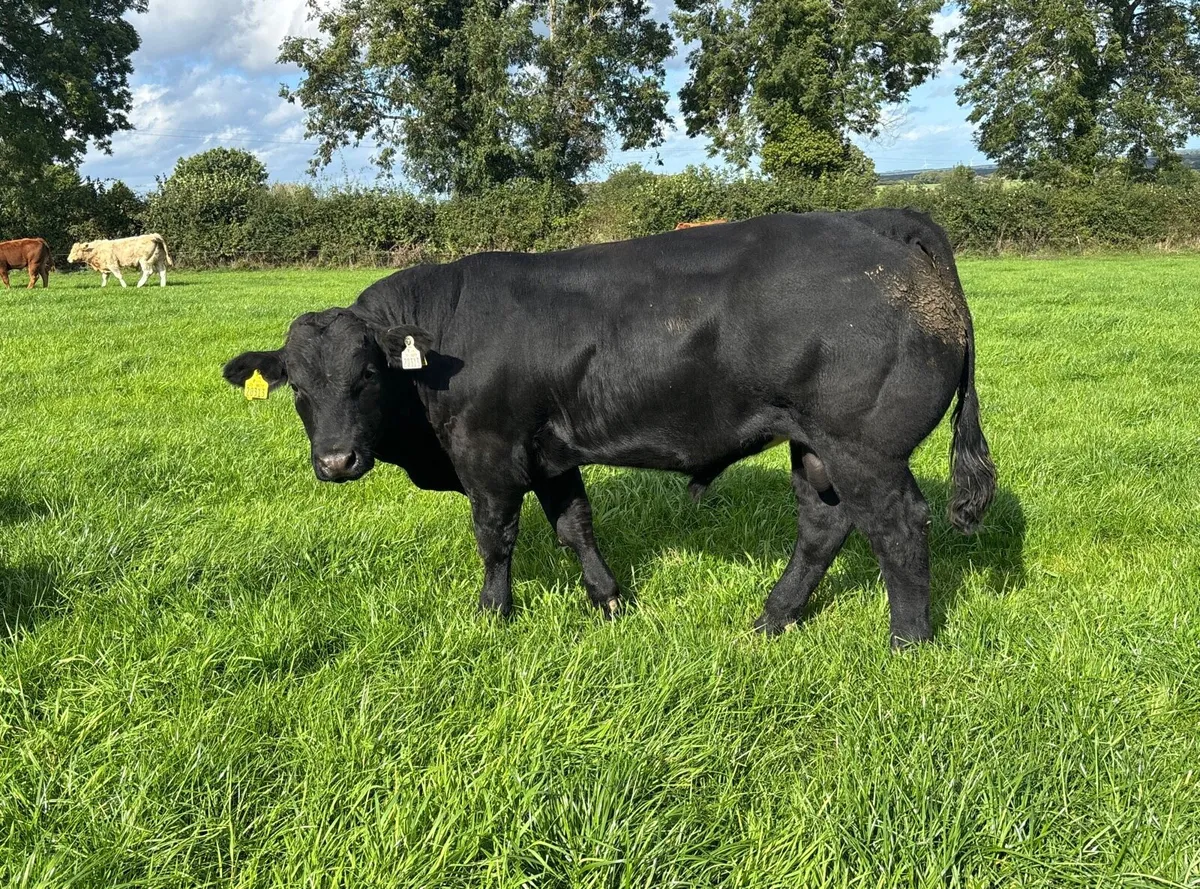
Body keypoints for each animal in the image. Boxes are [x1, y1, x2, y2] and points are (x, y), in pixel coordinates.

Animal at [223, 211, 996, 648]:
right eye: (298, 386)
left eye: (367, 375)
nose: (337, 460)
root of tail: (881, 219)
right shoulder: (550, 451)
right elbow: (574, 526)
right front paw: (611, 602)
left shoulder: (488, 451)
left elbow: (495, 536)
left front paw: (492, 616)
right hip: (815, 445)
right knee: (824, 526)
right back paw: (773, 619)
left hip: (863, 445)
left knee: (897, 526)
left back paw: (908, 641)